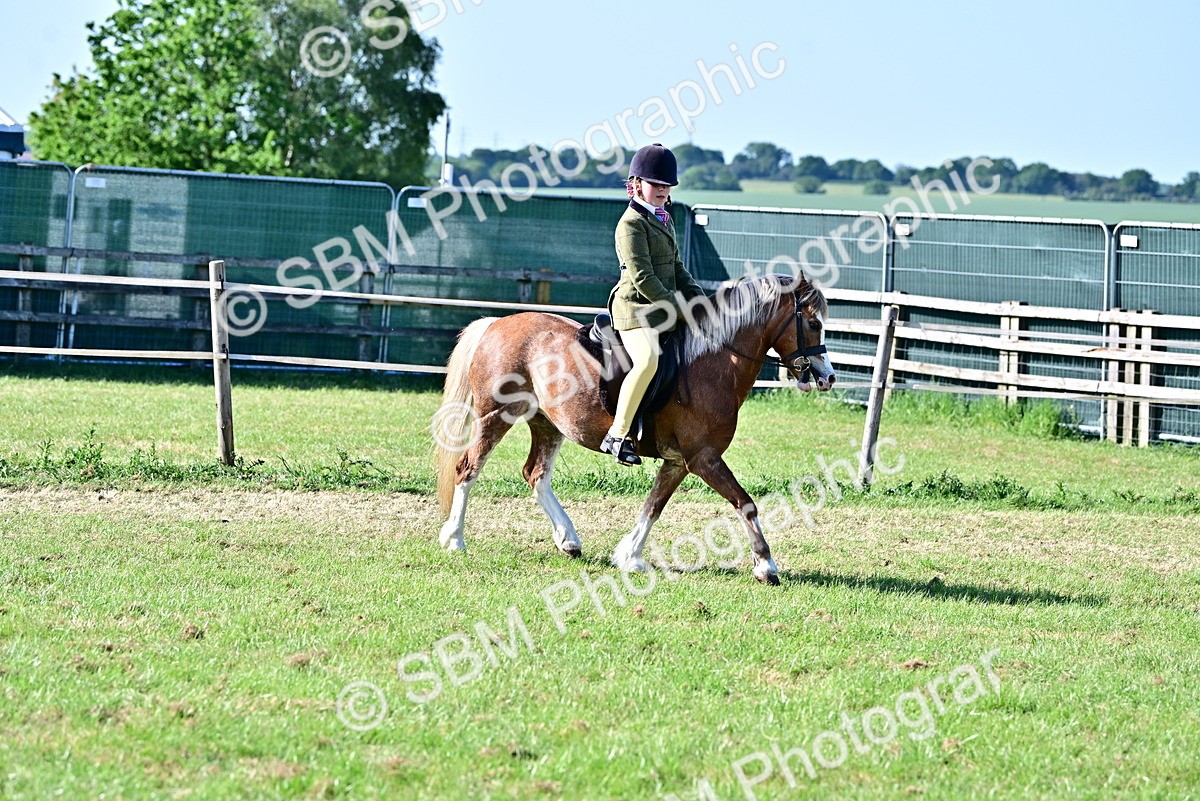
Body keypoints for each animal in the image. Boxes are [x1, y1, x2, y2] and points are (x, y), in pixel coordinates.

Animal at [432, 273, 836, 585]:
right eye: (813, 323)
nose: (828, 377)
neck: (714, 360)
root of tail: (496, 323)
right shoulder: (704, 458)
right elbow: (745, 503)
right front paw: (766, 566)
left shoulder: (679, 461)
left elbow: (653, 506)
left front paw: (630, 556)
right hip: (495, 416)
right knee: (468, 469)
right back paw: (454, 539)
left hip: (547, 423)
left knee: (536, 474)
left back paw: (568, 540)